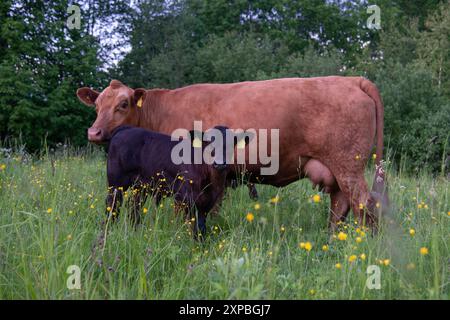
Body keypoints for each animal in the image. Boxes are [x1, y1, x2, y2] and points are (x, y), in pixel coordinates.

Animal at [76, 77, 386, 232]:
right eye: (97, 104)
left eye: (123, 104)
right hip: (338, 170)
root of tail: (351, 79)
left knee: (366, 205)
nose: (93, 132)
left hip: (348, 166)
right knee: (340, 206)